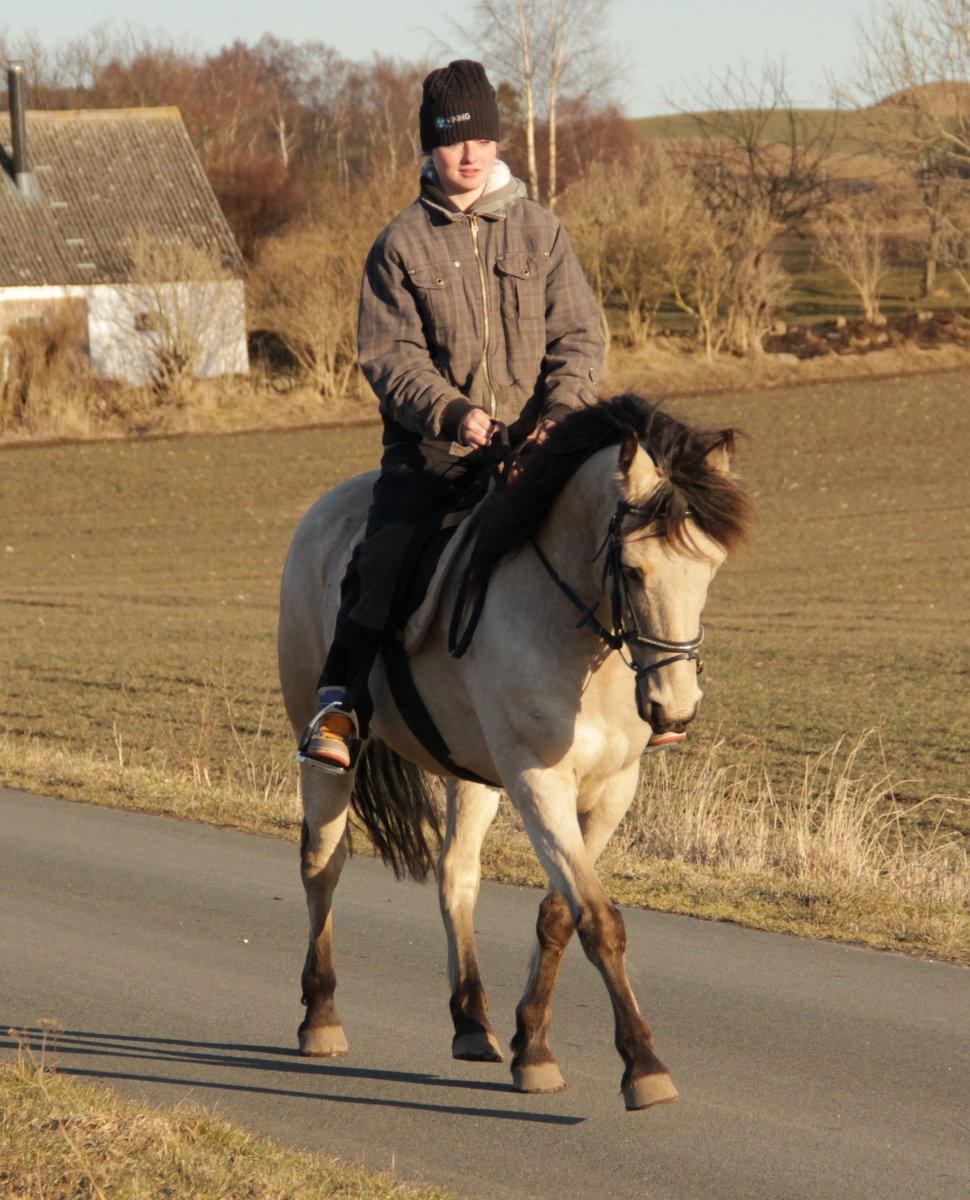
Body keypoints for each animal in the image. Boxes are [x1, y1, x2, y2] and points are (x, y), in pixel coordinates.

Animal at [278, 398, 749, 1108]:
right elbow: (599, 918)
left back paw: (473, 1021)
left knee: (456, 875)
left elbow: (561, 911)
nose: (675, 708)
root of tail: (323, 511)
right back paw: (322, 1016)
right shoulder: (538, 781)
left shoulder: (610, 790)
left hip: (470, 776)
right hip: (328, 752)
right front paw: (643, 1064)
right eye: (633, 570)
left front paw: (533, 1046)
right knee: (322, 866)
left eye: (713, 568)